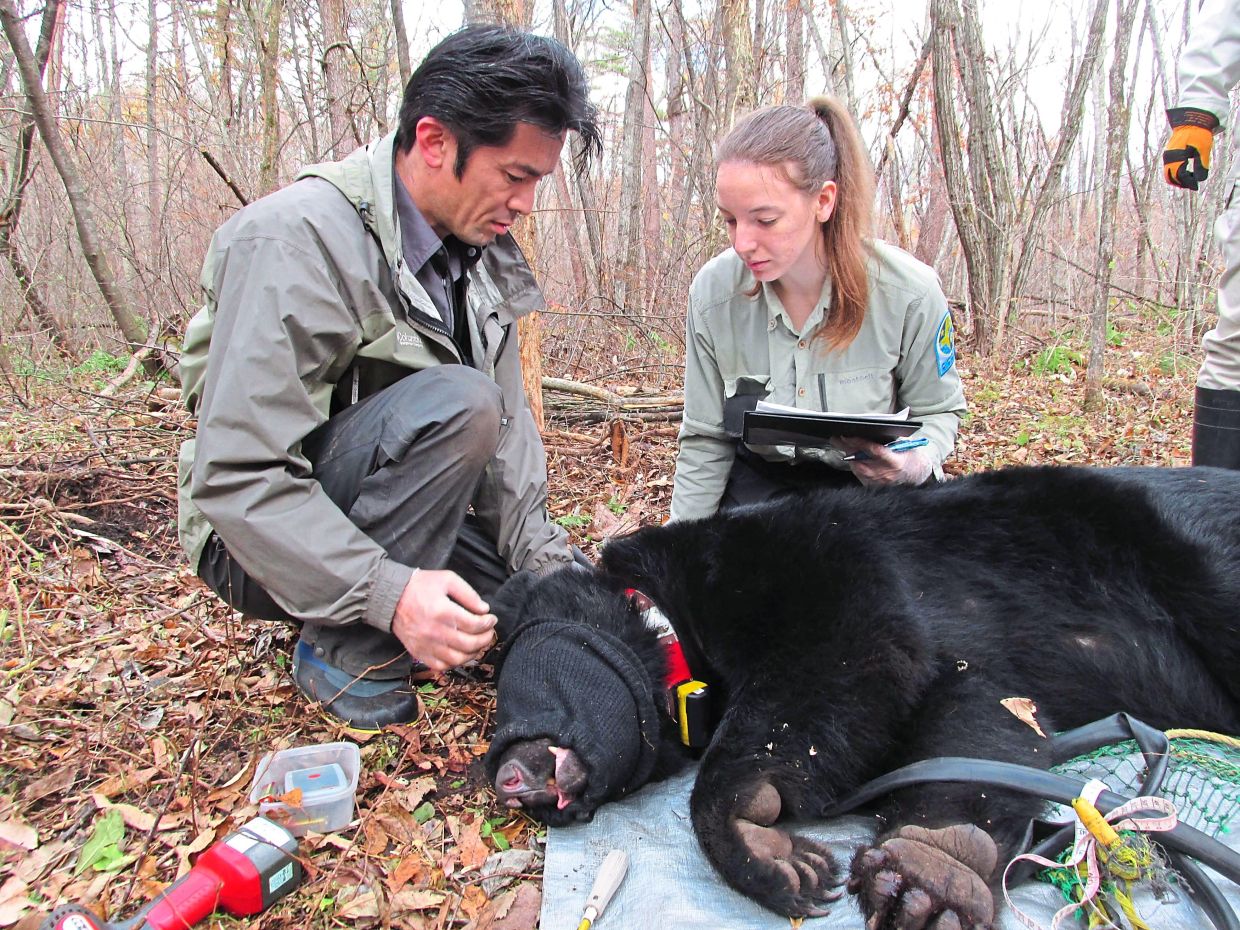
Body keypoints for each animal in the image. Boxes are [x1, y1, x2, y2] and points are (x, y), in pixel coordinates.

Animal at [484, 465, 1240, 928]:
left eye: (523, 663)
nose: (509, 777)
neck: (676, 632)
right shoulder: (978, 664)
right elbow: (981, 719)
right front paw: (929, 874)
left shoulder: (808, 557)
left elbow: (859, 642)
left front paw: (757, 834)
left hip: (1180, 554)